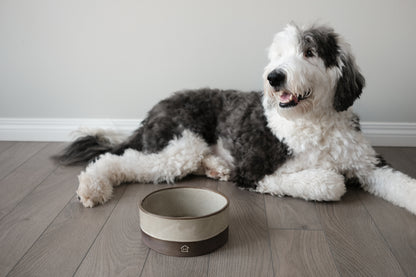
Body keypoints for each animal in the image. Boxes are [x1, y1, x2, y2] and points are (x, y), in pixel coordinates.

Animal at [53, 23, 414, 213]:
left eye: (309, 51)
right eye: (278, 55)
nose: (274, 77)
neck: (314, 121)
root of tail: (154, 109)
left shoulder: (369, 164)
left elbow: (402, 184)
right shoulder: (254, 171)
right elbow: (328, 182)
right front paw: (327, 179)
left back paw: (217, 167)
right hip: (180, 144)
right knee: (119, 160)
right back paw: (92, 186)